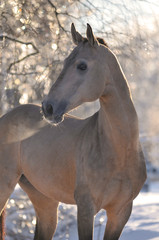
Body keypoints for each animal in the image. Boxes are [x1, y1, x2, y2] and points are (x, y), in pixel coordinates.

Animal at [0, 23, 147, 240]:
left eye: (82, 66)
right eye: (65, 62)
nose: (48, 107)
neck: (120, 151)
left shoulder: (120, 213)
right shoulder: (85, 209)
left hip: (45, 201)